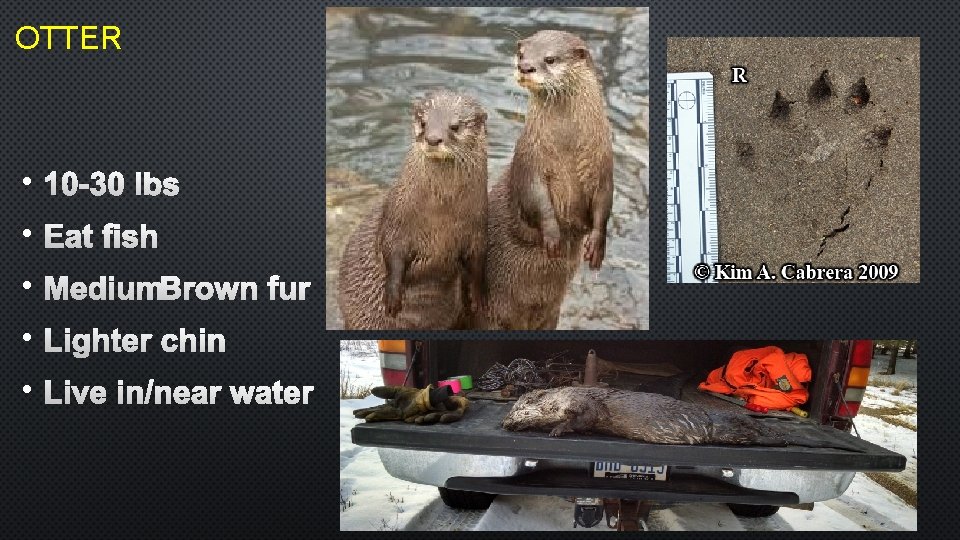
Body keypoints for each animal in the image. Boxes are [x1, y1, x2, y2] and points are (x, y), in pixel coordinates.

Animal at [338, 90, 488, 329]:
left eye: (455, 126)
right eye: (424, 123)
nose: (433, 139)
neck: (441, 215)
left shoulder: (477, 230)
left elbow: (478, 263)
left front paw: (478, 296)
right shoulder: (397, 221)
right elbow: (392, 253)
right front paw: (392, 297)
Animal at [477, 30, 614, 330]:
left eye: (550, 59)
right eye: (521, 53)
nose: (525, 67)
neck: (568, 148)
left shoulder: (603, 167)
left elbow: (604, 205)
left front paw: (596, 245)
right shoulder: (530, 163)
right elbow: (536, 200)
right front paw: (553, 236)